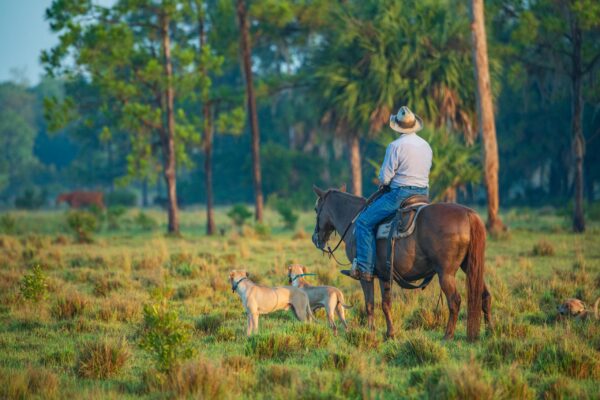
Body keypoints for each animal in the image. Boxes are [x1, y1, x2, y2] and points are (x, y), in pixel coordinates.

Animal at [312, 186, 490, 342]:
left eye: (316, 209)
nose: (315, 238)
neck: (354, 222)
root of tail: (468, 214)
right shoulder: (384, 275)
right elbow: (386, 304)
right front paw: (390, 334)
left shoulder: (365, 276)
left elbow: (370, 304)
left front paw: (370, 332)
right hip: (470, 267)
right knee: (484, 295)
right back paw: (489, 331)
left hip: (446, 274)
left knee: (454, 301)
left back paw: (448, 336)